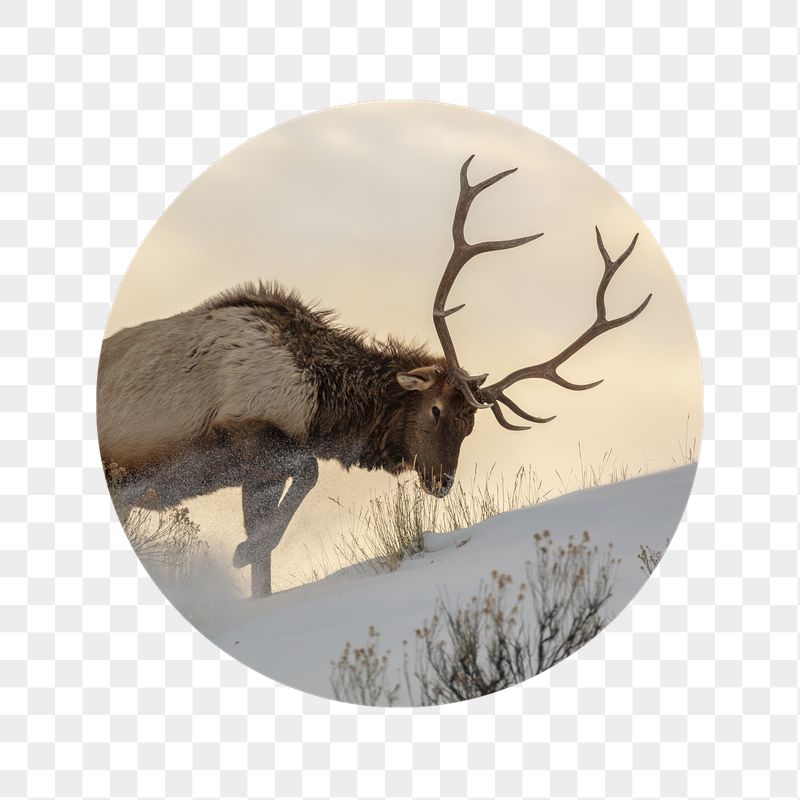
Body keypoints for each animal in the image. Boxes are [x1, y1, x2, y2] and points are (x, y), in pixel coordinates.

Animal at [97, 155, 651, 598]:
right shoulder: (243, 435)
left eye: (471, 424)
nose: (443, 482)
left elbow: (266, 558)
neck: (321, 403)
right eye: (435, 409)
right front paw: (238, 551)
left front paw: (250, 564)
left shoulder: (258, 472)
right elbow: (305, 477)